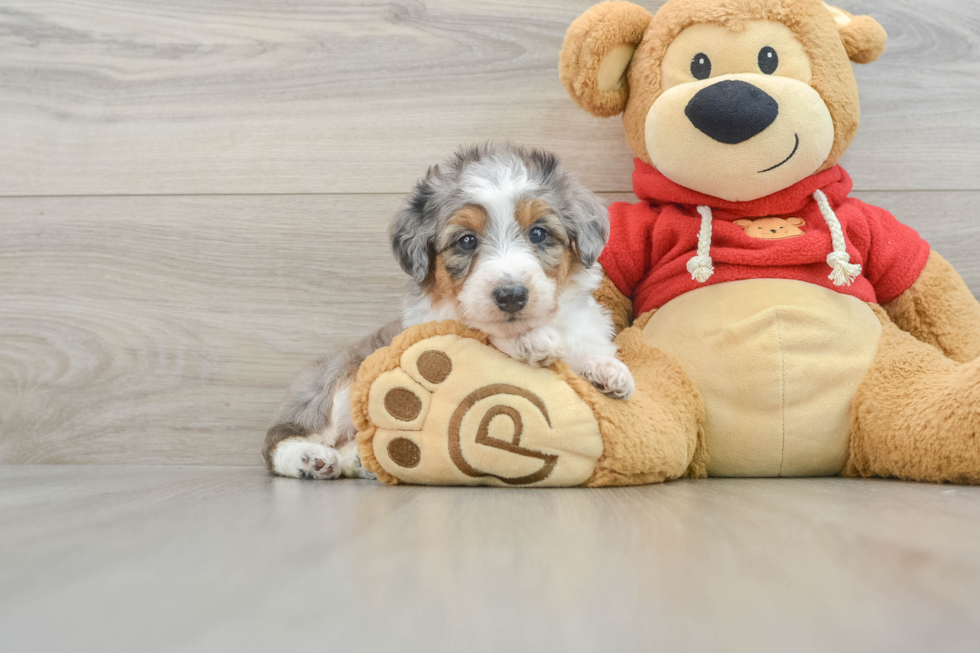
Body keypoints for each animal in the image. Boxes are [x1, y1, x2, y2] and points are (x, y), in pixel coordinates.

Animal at [264, 143, 636, 478]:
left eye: (539, 233)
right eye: (467, 241)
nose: (511, 296)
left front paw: (606, 370)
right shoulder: (436, 324)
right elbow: (478, 329)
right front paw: (531, 342)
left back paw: (358, 461)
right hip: (339, 385)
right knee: (279, 439)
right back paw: (309, 459)